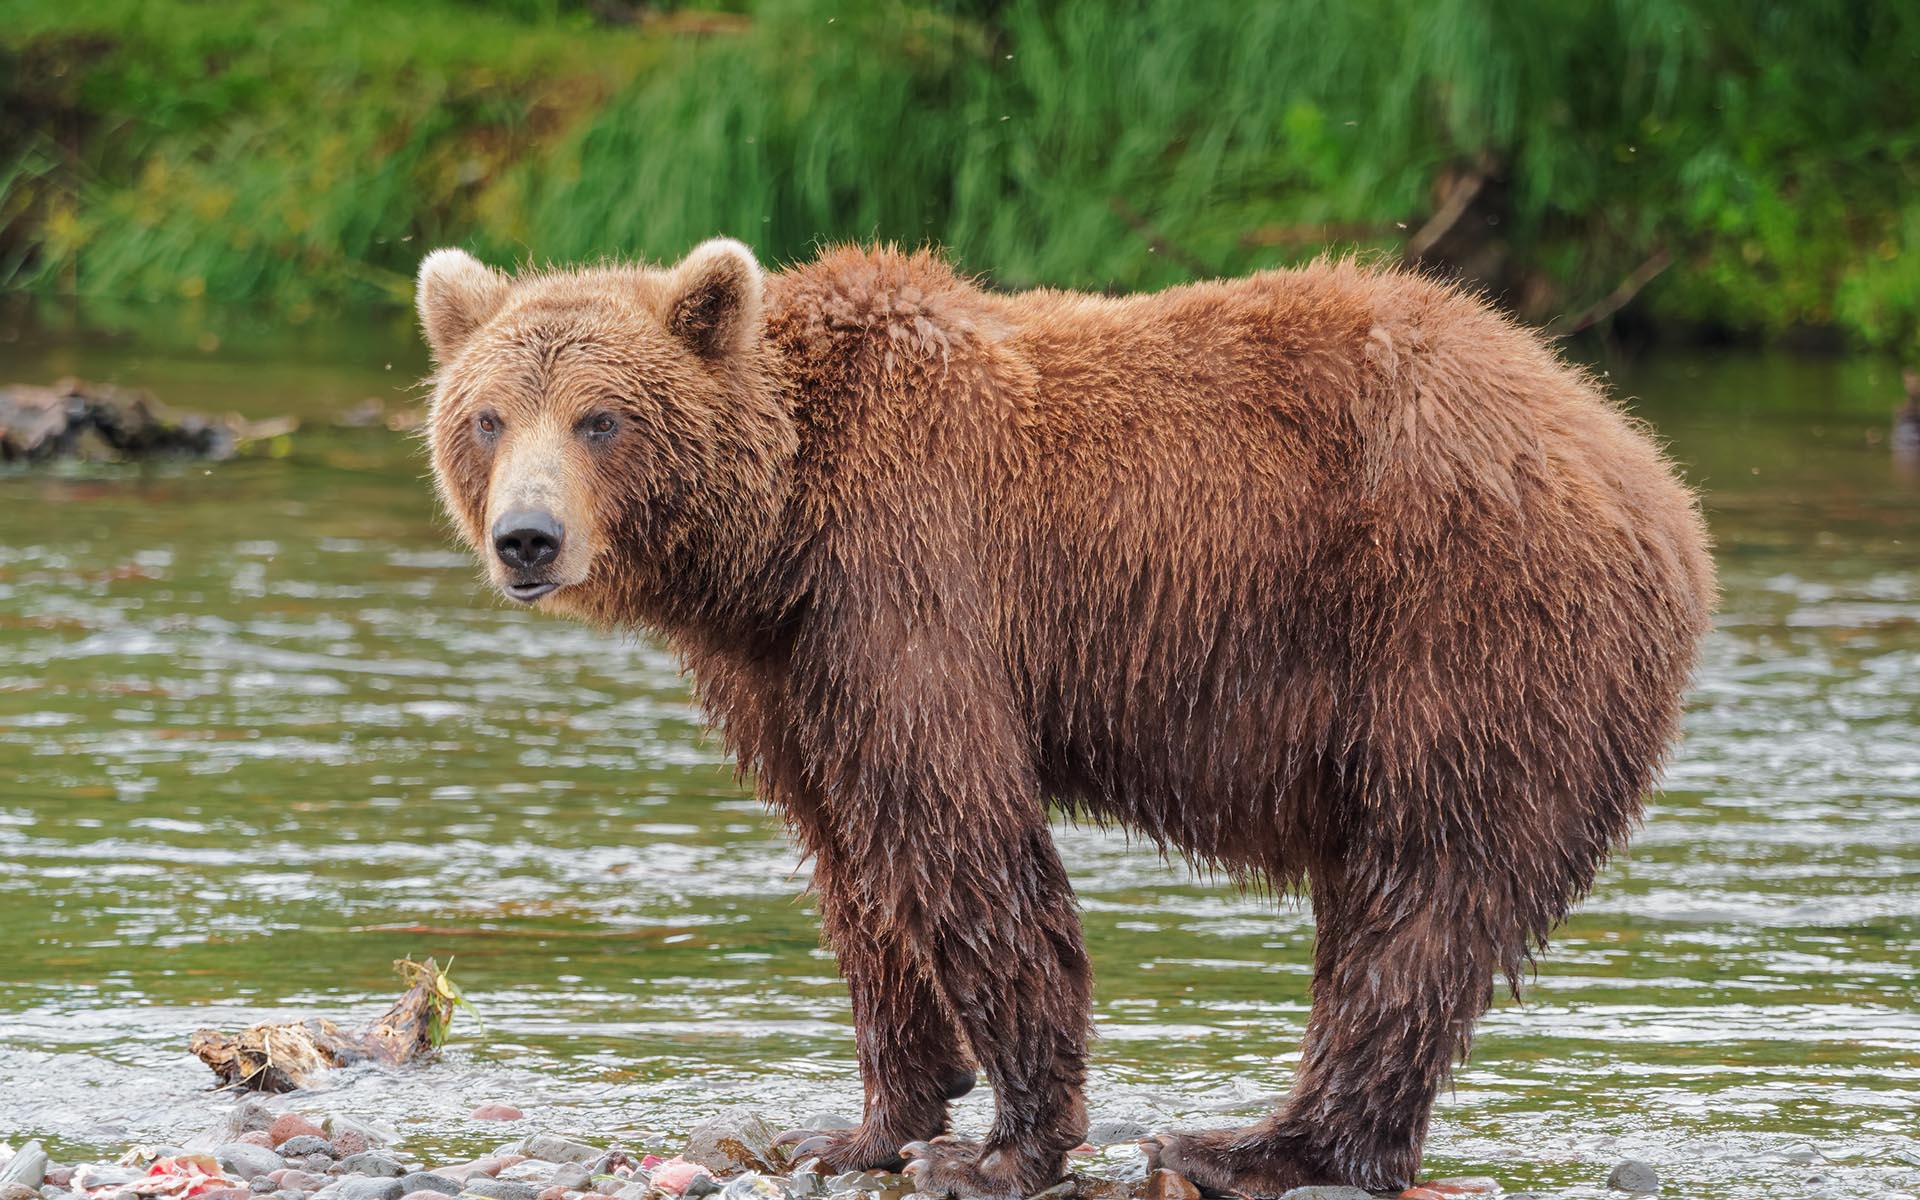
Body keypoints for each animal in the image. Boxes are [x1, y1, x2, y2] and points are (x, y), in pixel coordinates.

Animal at [415, 238, 1715, 1199]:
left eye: (601, 419)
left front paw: (1003, 1145)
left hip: (1465, 635)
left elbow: (959, 838)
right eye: (488, 417)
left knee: (1421, 896)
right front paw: (864, 1123)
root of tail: (1649, 471)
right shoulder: (789, 672)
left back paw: (1256, 1146)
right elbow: (853, 866)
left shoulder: (910, 580)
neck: (775, 539)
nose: (527, 539)